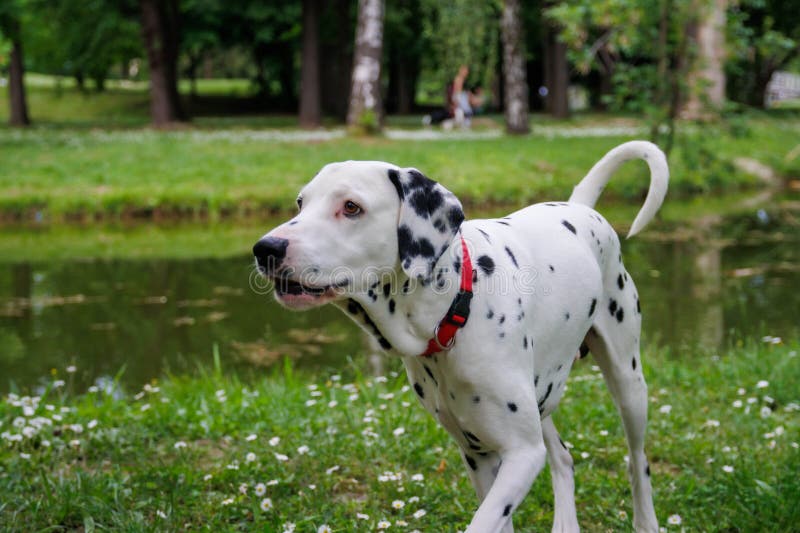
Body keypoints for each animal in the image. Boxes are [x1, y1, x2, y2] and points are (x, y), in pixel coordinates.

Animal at [253, 141, 664, 532]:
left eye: (351, 207)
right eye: (301, 202)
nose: (265, 249)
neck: (455, 308)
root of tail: (579, 207)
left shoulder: (522, 453)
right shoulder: (479, 455)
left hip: (628, 385)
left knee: (637, 462)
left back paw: (646, 522)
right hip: (540, 397)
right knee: (563, 457)